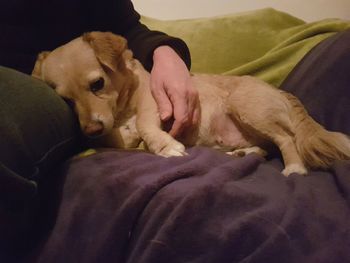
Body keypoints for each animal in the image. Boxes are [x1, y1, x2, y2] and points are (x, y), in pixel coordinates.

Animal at [32, 31, 350, 176]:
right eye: (66, 100)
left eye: (97, 83)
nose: (91, 130)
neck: (122, 108)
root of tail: (281, 92)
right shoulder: (115, 131)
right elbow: (119, 138)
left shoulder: (154, 101)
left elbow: (146, 125)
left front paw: (166, 147)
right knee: (266, 145)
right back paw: (244, 152)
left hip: (247, 107)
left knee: (285, 139)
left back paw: (294, 168)